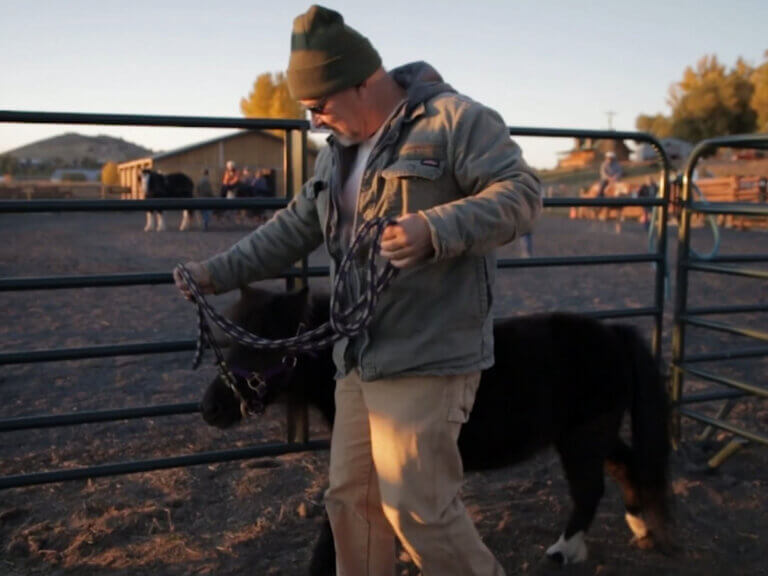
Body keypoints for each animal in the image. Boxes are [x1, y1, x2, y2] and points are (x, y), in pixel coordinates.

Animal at [200, 285, 671, 573]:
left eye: (265, 346)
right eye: (232, 340)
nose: (210, 408)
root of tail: (614, 333)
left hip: (582, 438)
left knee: (591, 489)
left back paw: (565, 551)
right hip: (593, 433)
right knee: (628, 466)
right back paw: (641, 527)